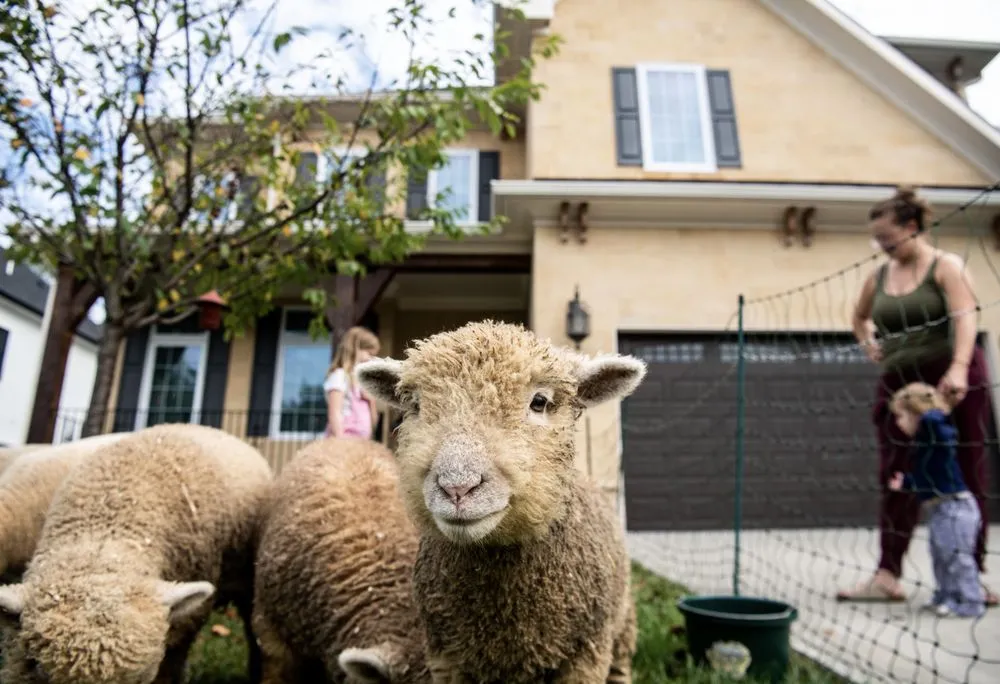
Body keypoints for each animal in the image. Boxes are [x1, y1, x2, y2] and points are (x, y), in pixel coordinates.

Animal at [356, 320, 647, 684]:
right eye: (416, 406)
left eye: (539, 401)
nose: (457, 487)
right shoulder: (446, 656)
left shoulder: (586, 654)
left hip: (620, 628)